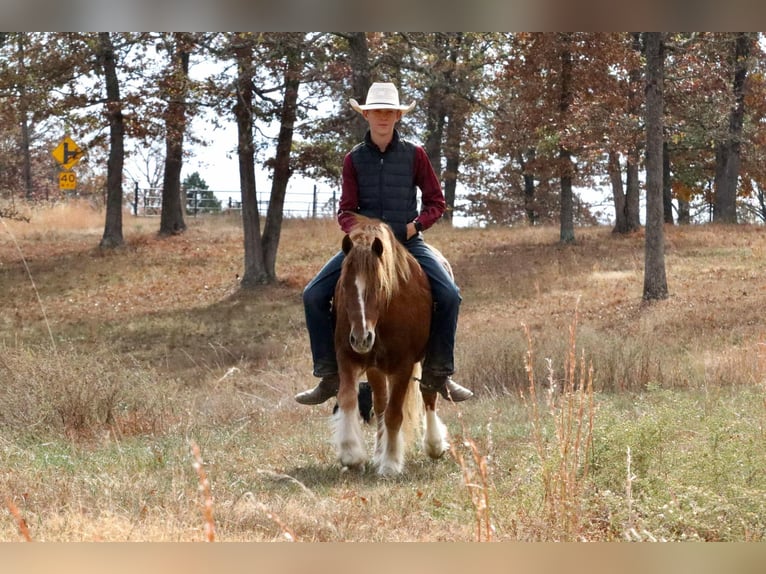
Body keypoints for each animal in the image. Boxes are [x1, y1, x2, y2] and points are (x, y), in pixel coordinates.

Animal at [334, 216, 450, 476]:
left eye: (379, 287)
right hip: (375, 367)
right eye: (344, 286)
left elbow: (395, 413)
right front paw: (351, 453)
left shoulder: (404, 364)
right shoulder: (347, 357)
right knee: (379, 405)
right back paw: (378, 450)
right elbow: (348, 399)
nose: (362, 338)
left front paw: (390, 464)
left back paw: (434, 445)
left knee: (428, 393)